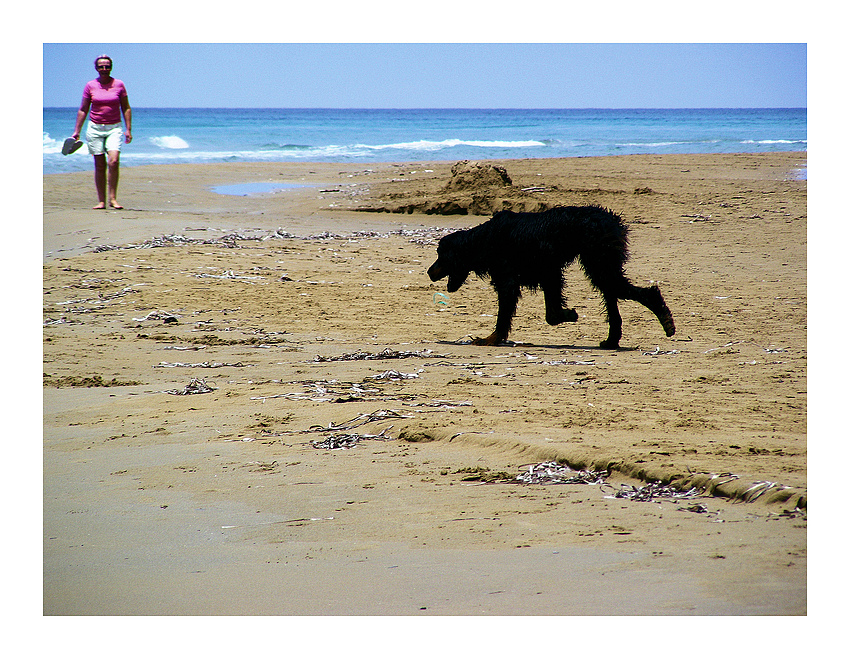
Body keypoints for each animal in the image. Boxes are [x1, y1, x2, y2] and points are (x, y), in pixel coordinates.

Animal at [430, 206, 676, 350]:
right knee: (612, 295)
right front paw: (566, 314)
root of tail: (612, 219)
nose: (429, 272)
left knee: (641, 291)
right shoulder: (548, 273)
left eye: (441, 255)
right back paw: (612, 340)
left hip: (599, 260)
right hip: (600, 264)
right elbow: (551, 313)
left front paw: (491, 339)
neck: (484, 240)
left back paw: (663, 318)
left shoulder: (517, 278)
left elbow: (508, 316)